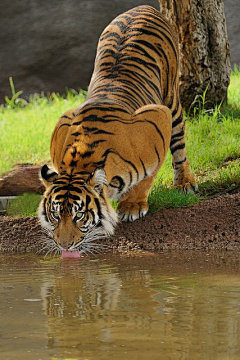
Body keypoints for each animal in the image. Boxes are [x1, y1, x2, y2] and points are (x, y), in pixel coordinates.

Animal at [39, 3, 197, 256]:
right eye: (55, 215)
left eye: (79, 215)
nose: (63, 245)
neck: (80, 162)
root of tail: (143, 7)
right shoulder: (63, 121)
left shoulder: (157, 117)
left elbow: (147, 176)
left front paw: (132, 205)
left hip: (172, 101)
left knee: (179, 147)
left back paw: (185, 183)